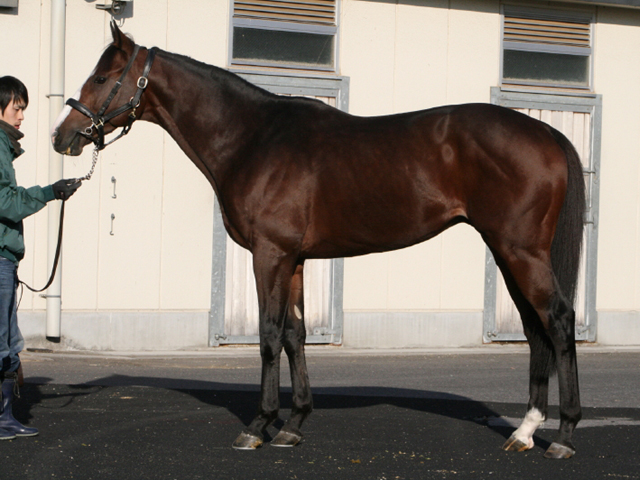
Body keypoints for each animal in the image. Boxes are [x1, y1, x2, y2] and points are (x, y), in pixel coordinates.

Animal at [52, 22, 585, 459]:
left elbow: (268, 335)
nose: (63, 137)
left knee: (558, 320)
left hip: (520, 251)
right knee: (535, 328)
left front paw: (258, 425)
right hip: (507, 252)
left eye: (101, 78)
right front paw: (293, 424)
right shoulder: (295, 259)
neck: (254, 138)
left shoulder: (269, 255)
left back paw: (563, 435)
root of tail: (547, 134)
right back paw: (525, 431)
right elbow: (296, 334)